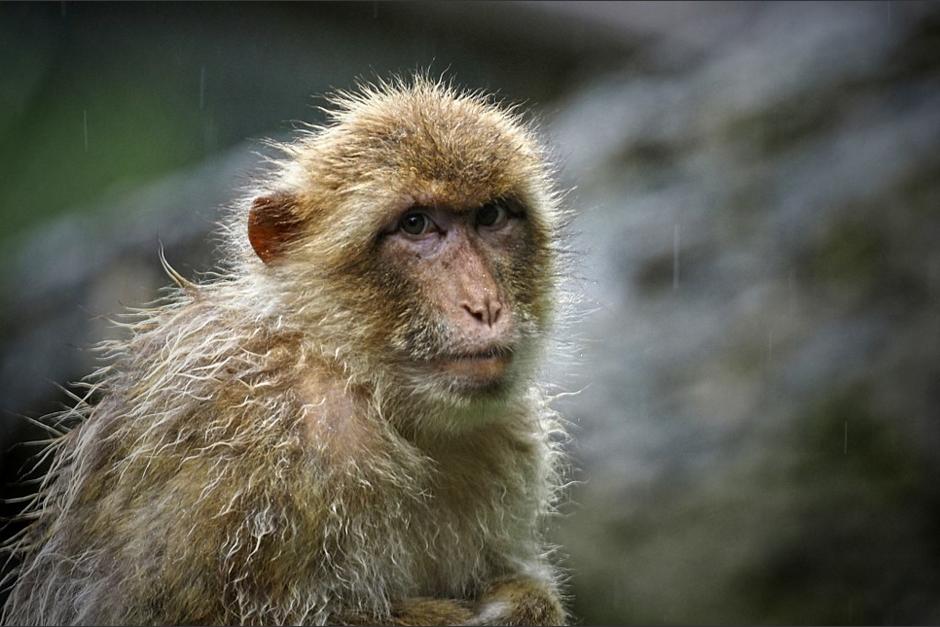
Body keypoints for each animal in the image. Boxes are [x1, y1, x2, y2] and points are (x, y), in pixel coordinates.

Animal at [1, 76, 570, 626]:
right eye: (416, 224)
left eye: (491, 216)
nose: (484, 305)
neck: (359, 382)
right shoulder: (248, 442)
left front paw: (526, 604)